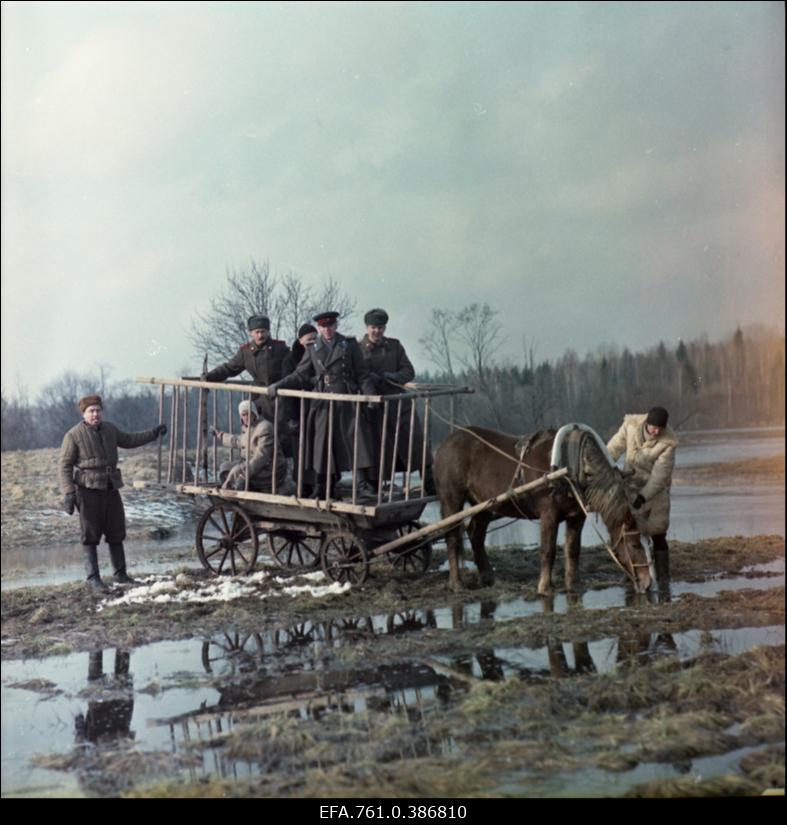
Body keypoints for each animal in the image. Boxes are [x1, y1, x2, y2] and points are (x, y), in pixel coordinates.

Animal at [434, 424, 648, 592]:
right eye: (634, 545)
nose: (647, 582)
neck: (570, 467)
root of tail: (445, 444)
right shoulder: (548, 515)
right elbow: (548, 551)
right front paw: (544, 587)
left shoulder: (576, 517)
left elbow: (573, 550)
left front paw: (572, 584)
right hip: (452, 499)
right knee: (452, 537)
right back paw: (456, 583)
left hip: (485, 505)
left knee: (476, 533)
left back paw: (487, 577)